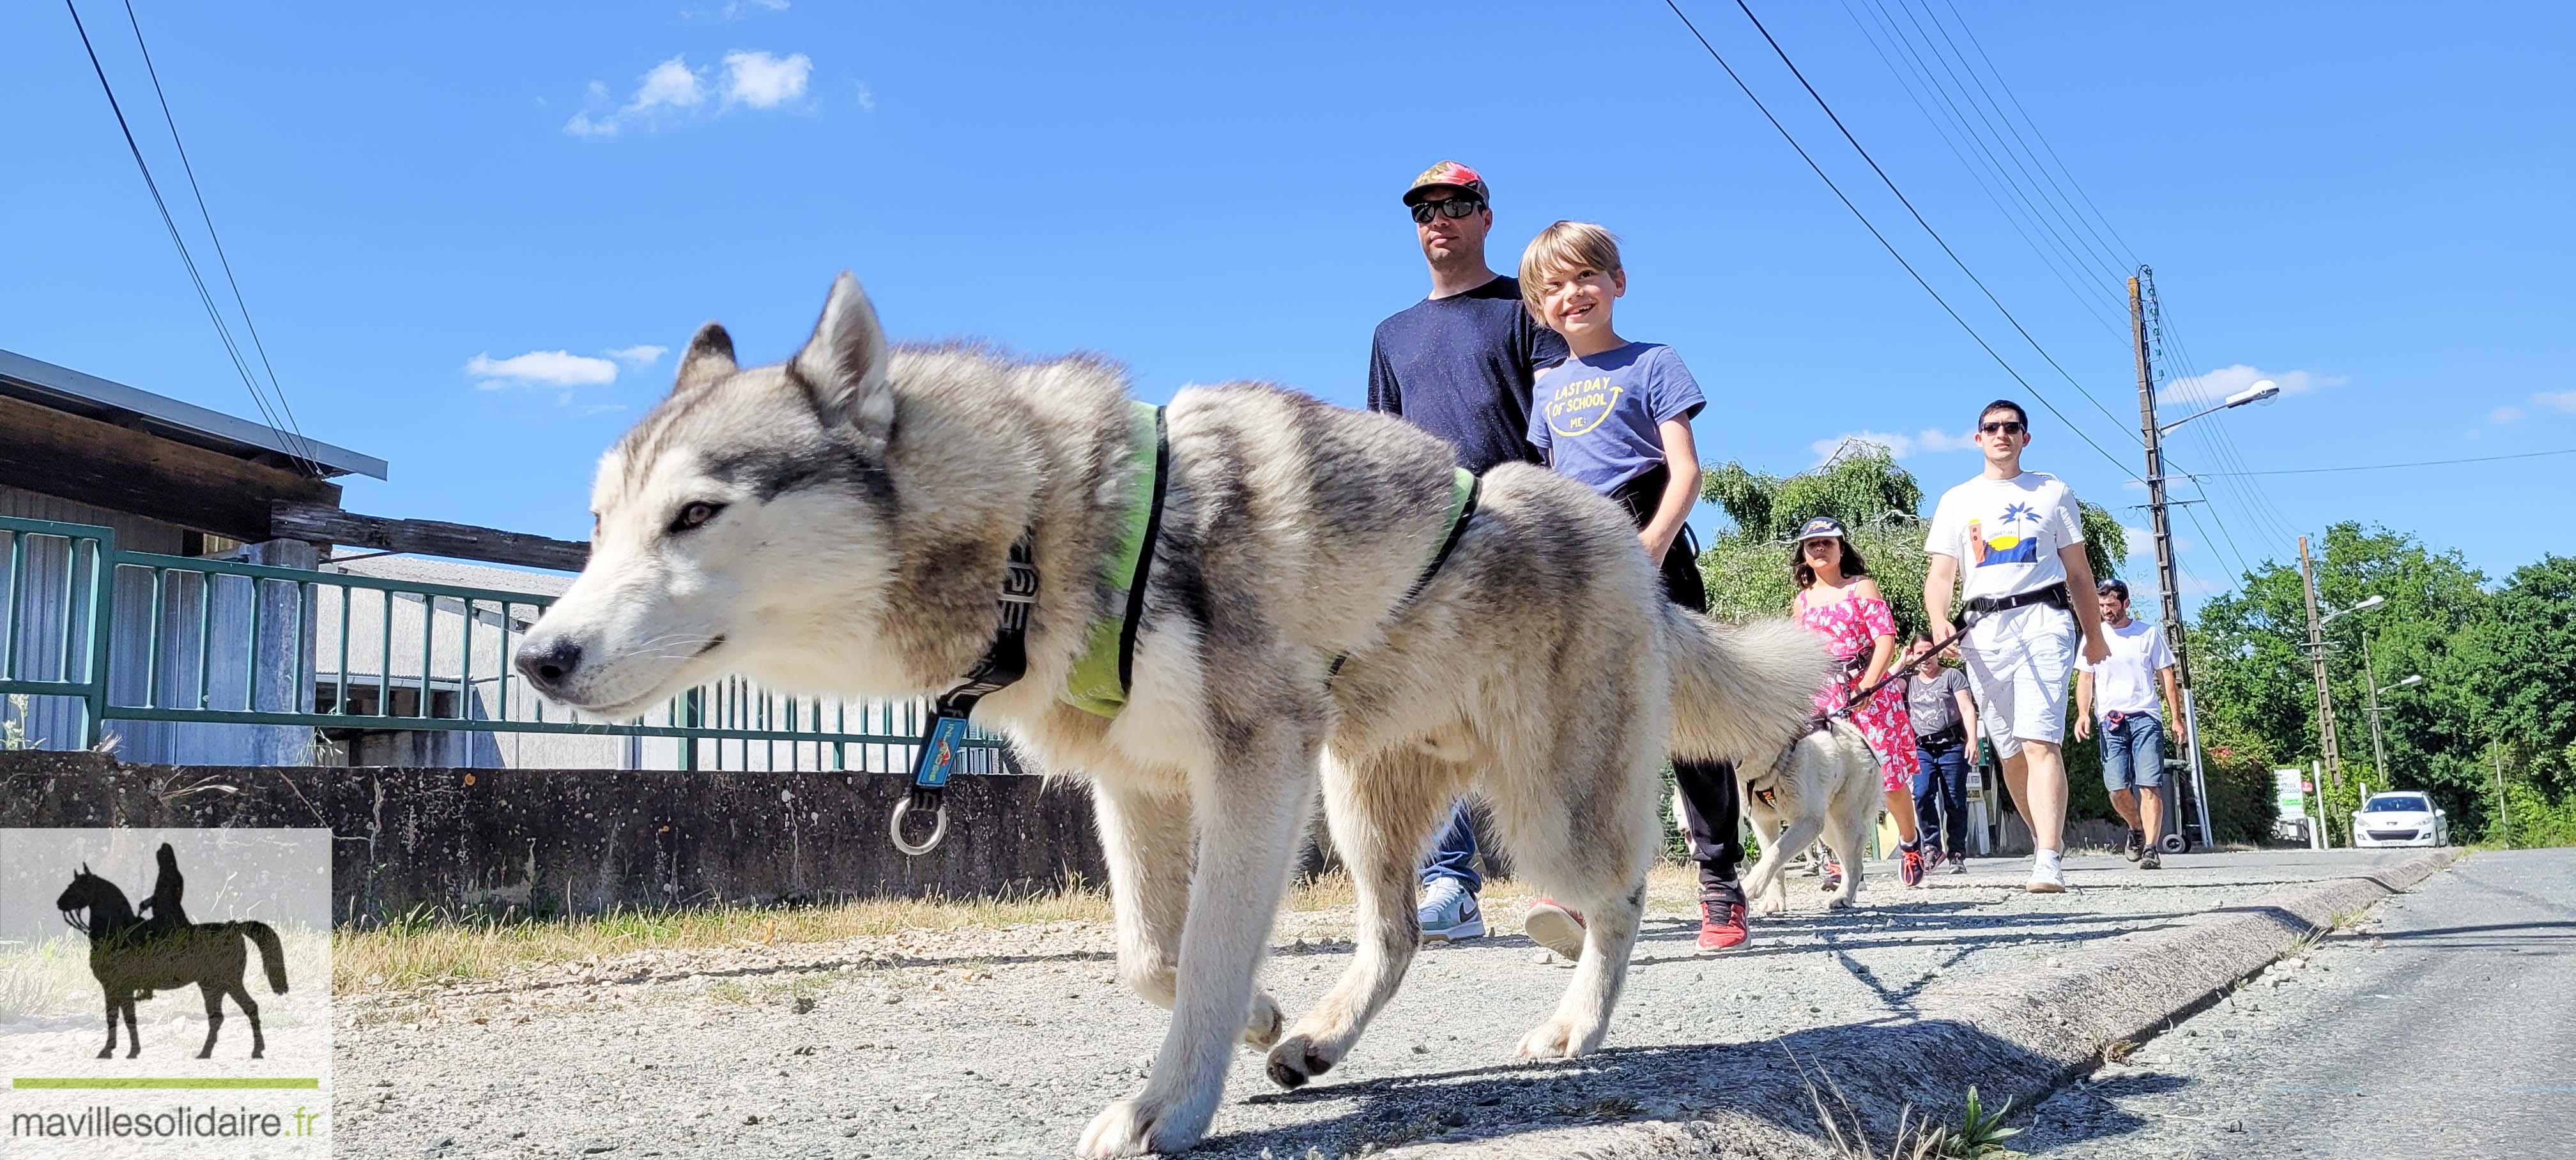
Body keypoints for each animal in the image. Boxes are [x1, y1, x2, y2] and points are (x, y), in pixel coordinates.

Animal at [512, 274, 1823, 1159]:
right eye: (600, 524)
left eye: (695, 514)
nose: (535, 657)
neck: (1036, 528)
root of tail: (1627, 549)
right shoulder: (1139, 782)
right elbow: (1153, 955)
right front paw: (1260, 1017)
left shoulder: (1251, 766)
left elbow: (1198, 960)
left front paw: (1165, 1108)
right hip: (1359, 797)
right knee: (1398, 931)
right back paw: (1318, 1038)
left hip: (1539, 810)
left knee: (1620, 894)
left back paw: (1574, 1027)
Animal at [1741, 716, 1885, 917]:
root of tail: (1858, 734)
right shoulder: (1763, 822)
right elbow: (1774, 861)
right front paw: (1774, 901)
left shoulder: (1809, 821)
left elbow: (1775, 853)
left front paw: (1748, 888)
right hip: (1830, 831)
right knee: (1846, 861)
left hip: (1846, 820)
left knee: (1854, 864)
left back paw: (1844, 897)